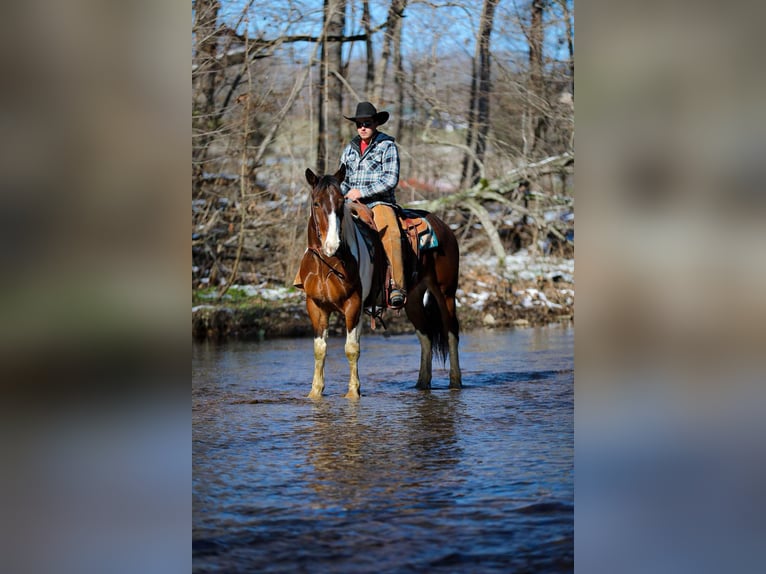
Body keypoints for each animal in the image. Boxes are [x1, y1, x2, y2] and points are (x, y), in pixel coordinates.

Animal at [297, 165, 462, 398]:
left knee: (451, 331)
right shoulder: (315, 305)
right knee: (425, 335)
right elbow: (320, 349)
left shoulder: (353, 304)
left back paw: (455, 381)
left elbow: (351, 348)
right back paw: (422, 383)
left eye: (340, 202)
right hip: (412, 299)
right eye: (316, 203)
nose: (332, 245)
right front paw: (315, 392)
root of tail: (444, 226)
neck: (327, 263)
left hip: (445, 292)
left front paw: (353, 392)